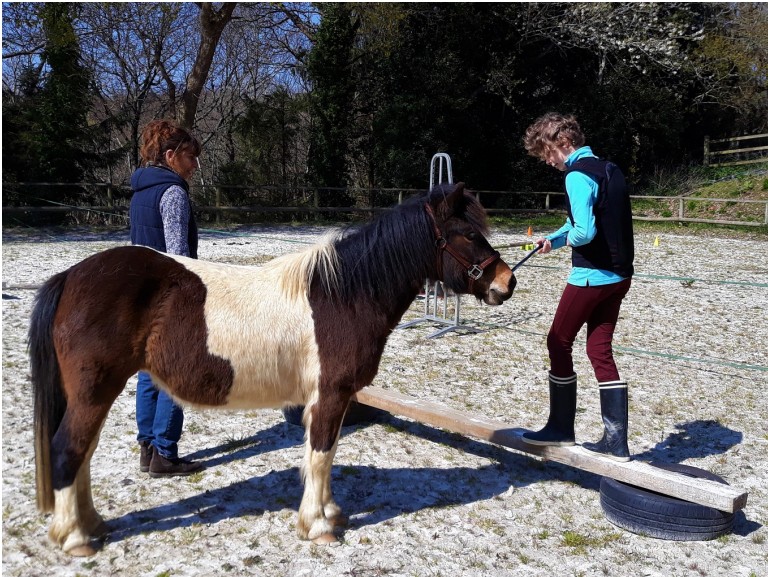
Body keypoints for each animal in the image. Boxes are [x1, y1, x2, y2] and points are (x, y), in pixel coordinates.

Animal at [27, 182, 516, 556]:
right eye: (467, 234)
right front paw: (318, 526)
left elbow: (326, 455)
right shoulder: (331, 394)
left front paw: (330, 512)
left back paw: (93, 525)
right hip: (94, 392)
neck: (344, 295)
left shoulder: (331, 398)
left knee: (82, 454)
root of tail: (71, 276)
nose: (506, 282)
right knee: (69, 451)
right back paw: (76, 539)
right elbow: (320, 455)